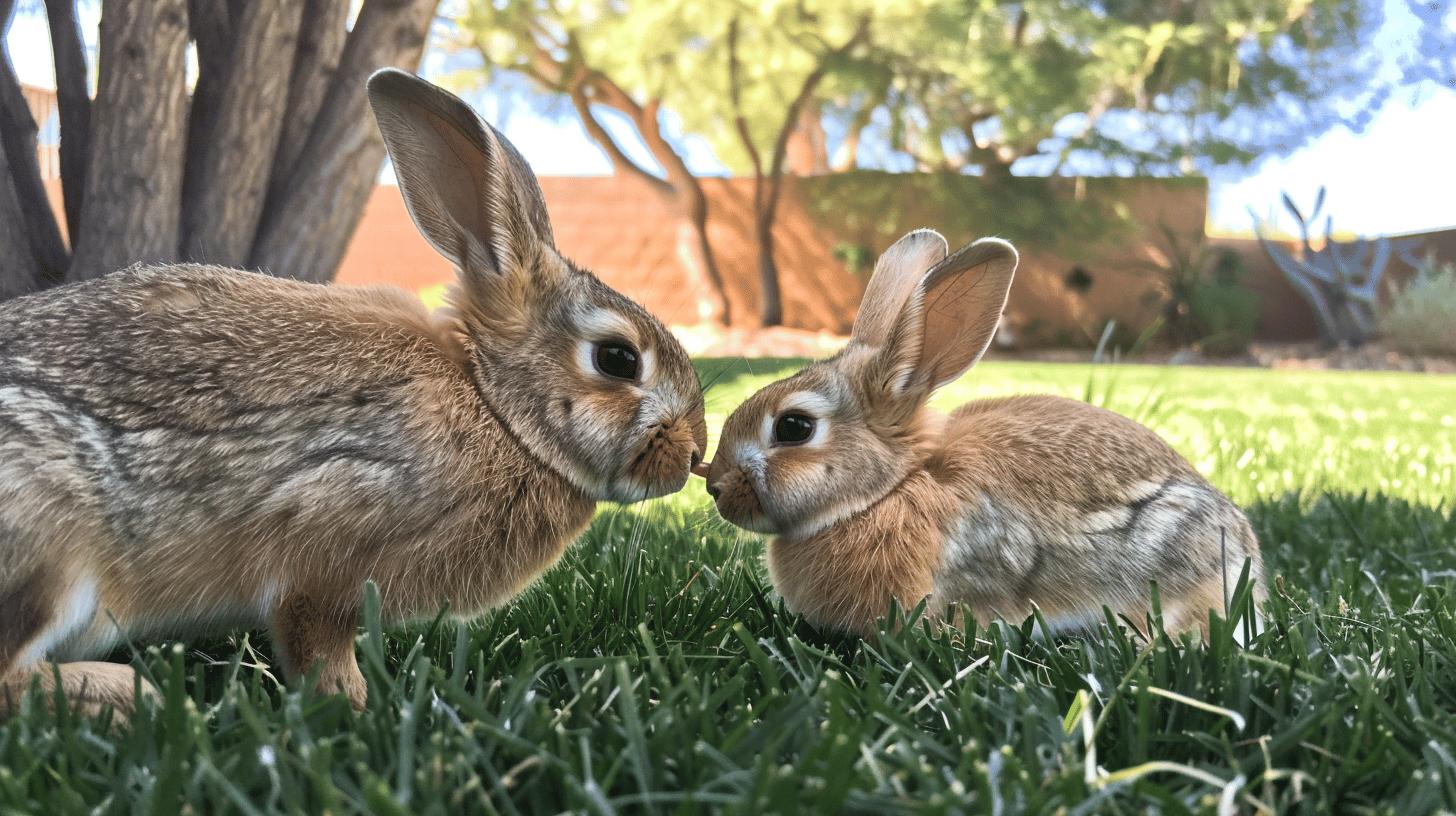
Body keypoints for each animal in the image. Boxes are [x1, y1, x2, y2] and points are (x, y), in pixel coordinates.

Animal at [0, 71, 704, 719]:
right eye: (617, 359)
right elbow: (316, 636)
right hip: (50, 536)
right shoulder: (328, 544)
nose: (694, 454)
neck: (495, 407)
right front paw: (356, 705)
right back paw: (124, 696)